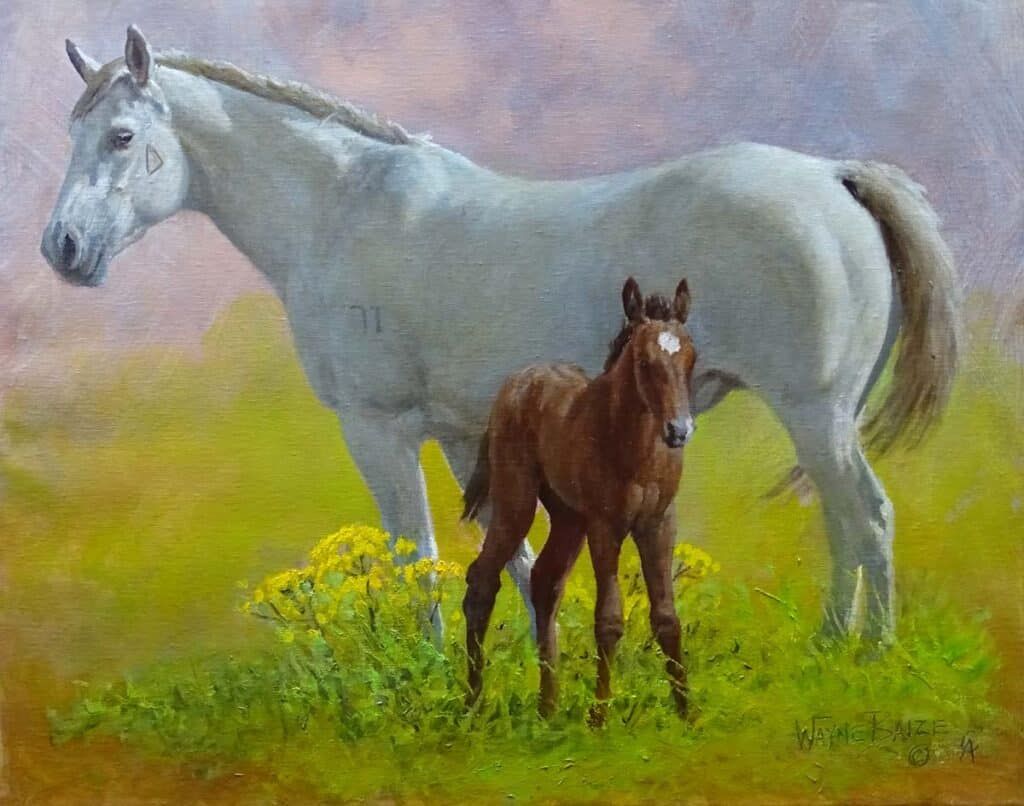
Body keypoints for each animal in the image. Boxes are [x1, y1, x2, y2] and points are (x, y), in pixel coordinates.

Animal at [41, 26, 962, 641]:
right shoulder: (465, 436)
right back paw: (836, 644)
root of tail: (831, 176)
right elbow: (512, 559)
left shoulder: (379, 430)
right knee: (843, 523)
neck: (341, 212)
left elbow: (417, 558)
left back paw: (865, 656)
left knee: (866, 520)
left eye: (121, 137)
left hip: (815, 412)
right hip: (819, 421)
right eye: (72, 134)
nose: (63, 248)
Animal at [462, 277, 696, 720]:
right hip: (518, 502)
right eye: (644, 363)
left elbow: (668, 618)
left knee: (544, 582)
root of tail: (517, 382)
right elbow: (609, 620)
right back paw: (472, 701)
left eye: (691, 358)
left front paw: (688, 716)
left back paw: (548, 707)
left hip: (570, 518)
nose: (679, 430)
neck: (634, 447)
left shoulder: (659, 523)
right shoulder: (606, 524)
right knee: (482, 580)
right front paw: (599, 719)